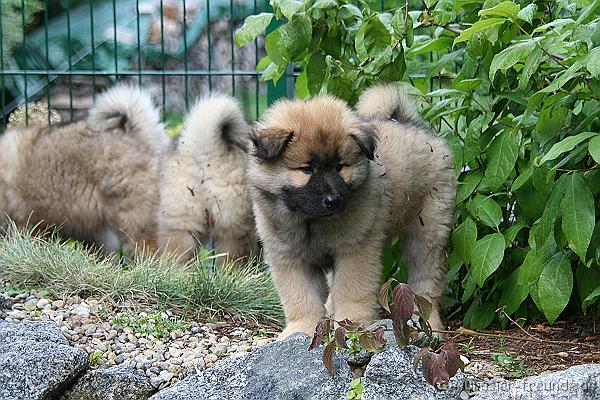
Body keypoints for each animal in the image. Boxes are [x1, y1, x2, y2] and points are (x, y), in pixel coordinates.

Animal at [246, 84, 458, 338]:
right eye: (306, 169)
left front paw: (351, 323)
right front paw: (302, 328)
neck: (311, 221)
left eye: (340, 167)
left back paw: (429, 322)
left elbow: (351, 289)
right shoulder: (289, 256)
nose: (333, 200)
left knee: (426, 282)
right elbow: (299, 296)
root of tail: (407, 121)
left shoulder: (355, 248)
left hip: (428, 230)